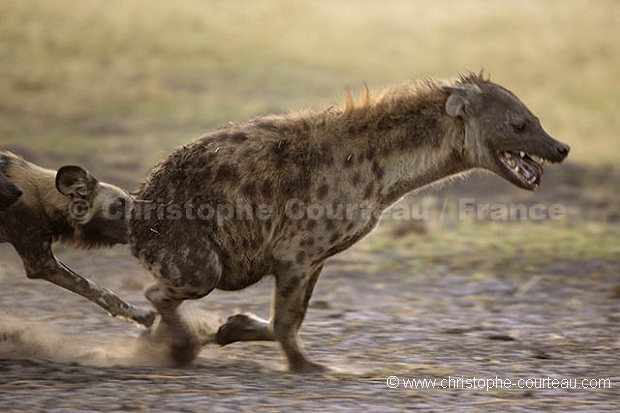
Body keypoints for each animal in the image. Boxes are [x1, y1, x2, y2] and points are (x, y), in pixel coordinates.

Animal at [0, 150, 155, 326]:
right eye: (118, 205)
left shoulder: (47, 260)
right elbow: (96, 289)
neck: (42, 198)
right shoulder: (43, 264)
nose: (145, 223)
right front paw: (140, 314)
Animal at [133, 73, 568, 370]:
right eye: (518, 125)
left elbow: (290, 317)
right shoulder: (296, 251)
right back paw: (181, 346)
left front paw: (232, 327)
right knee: (163, 290)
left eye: (536, 119)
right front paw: (306, 365)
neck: (384, 170)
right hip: (190, 251)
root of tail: (138, 203)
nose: (561, 148)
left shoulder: (315, 258)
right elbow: (286, 320)